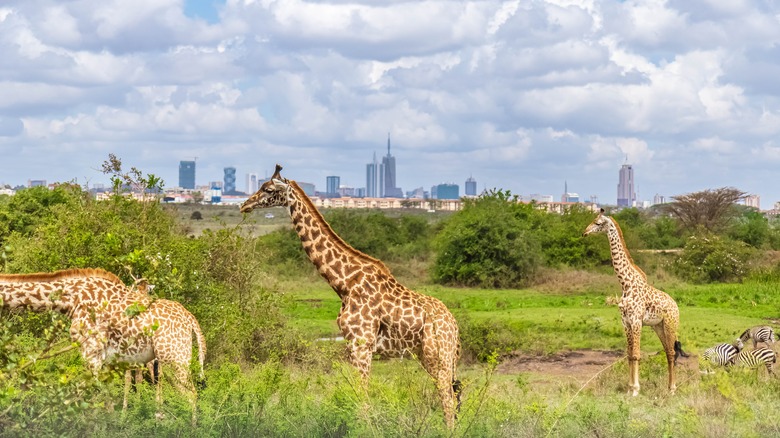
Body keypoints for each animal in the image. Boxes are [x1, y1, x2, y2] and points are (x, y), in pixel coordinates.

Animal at [0, 268, 207, 422]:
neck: (71, 299)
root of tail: (191, 320)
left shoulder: (91, 351)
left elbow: (90, 398)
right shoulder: (105, 359)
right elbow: (105, 400)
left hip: (173, 358)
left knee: (191, 395)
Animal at [241, 163, 460, 428]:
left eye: (269, 189)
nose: (244, 205)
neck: (345, 283)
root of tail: (454, 324)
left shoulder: (361, 344)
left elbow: (362, 398)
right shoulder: (351, 345)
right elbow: (358, 396)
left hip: (438, 354)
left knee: (448, 398)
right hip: (430, 355)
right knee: (453, 395)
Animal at [580, 209, 684, 396]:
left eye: (598, 223)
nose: (584, 233)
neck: (625, 284)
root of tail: (675, 305)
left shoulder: (636, 320)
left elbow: (636, 354)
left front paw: (635, 390)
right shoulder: (626, 322)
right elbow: (629, 354)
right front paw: (629, 389)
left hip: (670, 324)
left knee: (672, 352)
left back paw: (672, 389)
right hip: (658, 326)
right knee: (668, 351)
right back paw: (668, 387)